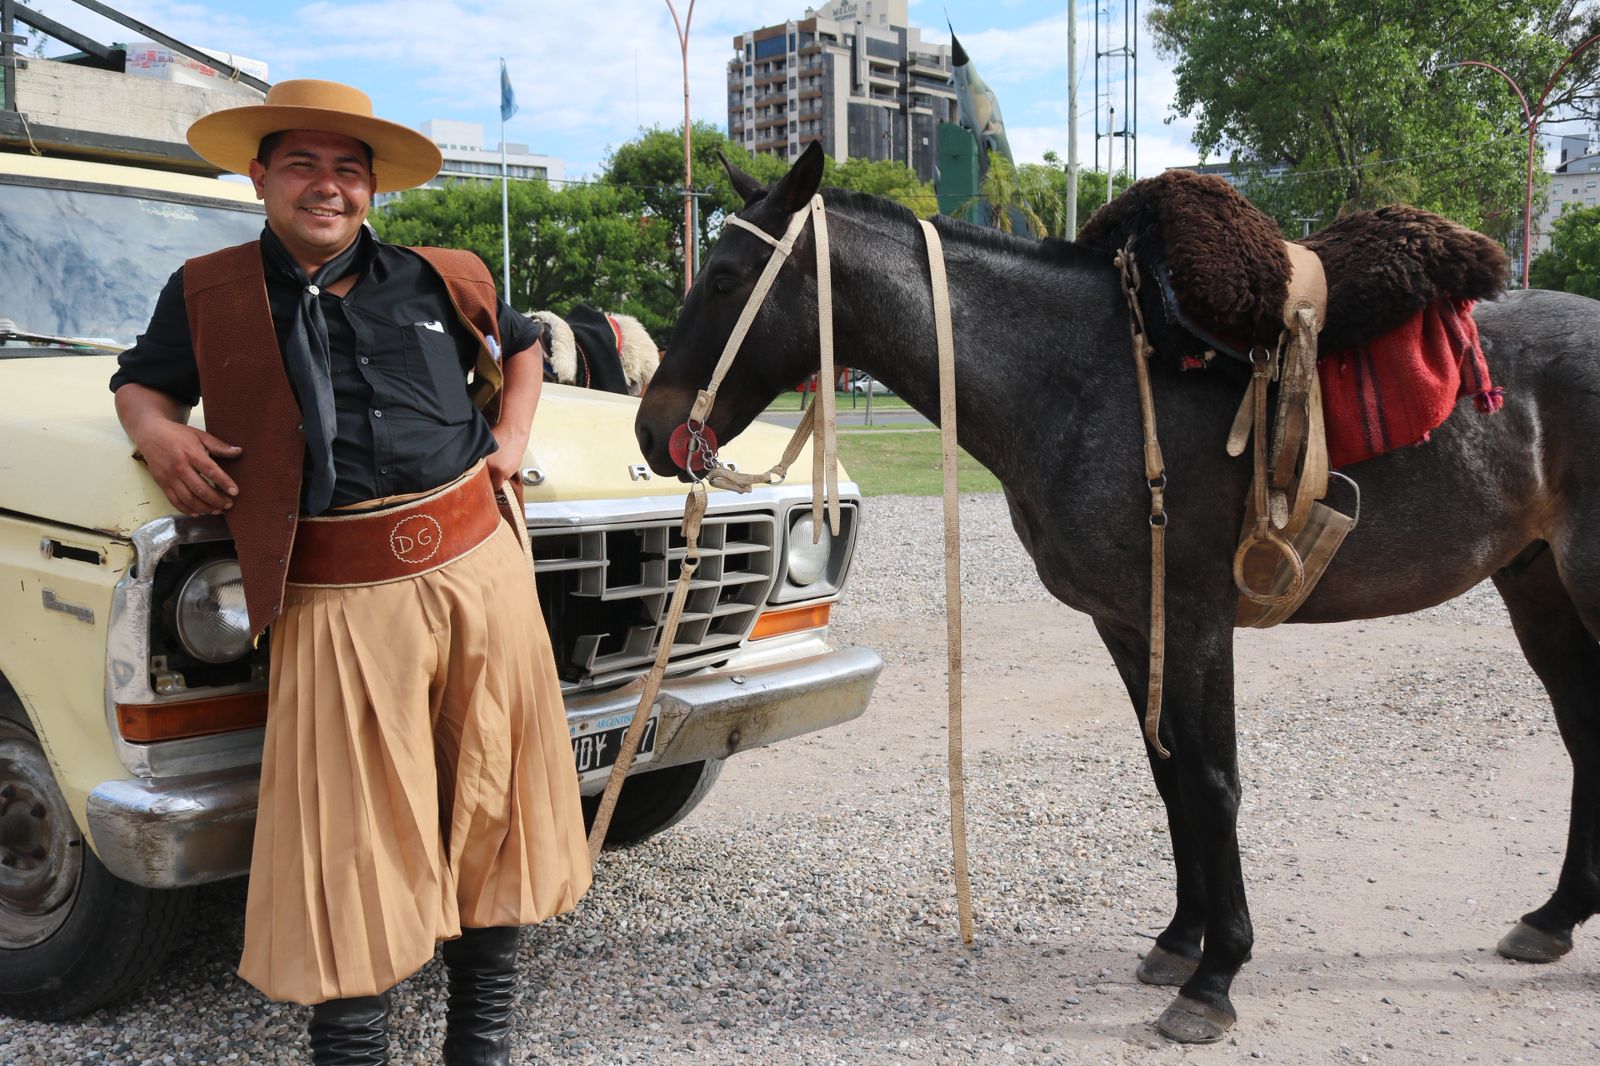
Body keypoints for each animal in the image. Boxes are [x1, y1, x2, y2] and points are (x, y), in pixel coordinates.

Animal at [633, 143, 1600, 1044]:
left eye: (725, 277)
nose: (651, 429)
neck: (1089, 380)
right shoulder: (1131, 625)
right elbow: (1168, 776)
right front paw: (1181, 940)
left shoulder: (1198, 619)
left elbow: (1213, 781)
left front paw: (1216, 976)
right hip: (1536, 586)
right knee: (1582, 736)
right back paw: (1555, 917)